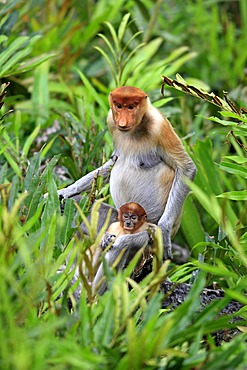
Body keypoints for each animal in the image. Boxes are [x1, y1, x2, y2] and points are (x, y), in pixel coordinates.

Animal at [58, 85, 197, 262]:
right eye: (119, 106)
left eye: (131, 107)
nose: (123, 122)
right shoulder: (111, 121)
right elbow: (113, 161)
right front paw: (66, 191)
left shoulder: (159, 126)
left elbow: (186, 167)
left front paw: (164, 233)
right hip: (113, 219)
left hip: (147, 235)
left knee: (123, 243)